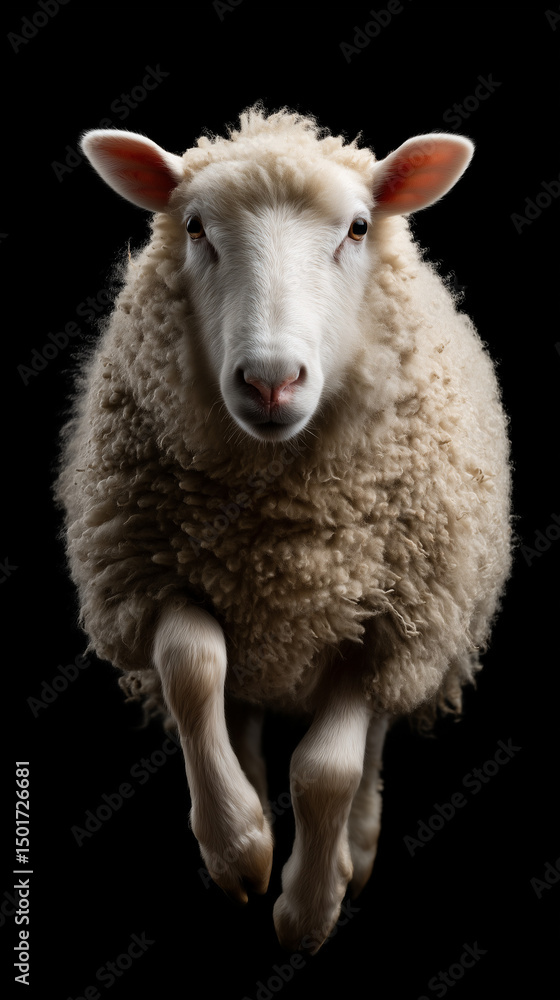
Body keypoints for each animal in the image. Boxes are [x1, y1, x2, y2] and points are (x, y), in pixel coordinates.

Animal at [55, 105, 512, 953]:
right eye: (195, 227)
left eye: (359, 227)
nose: (271, 381)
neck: (279, 536)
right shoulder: (150, 569)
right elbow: (193, 666)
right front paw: (239, 846)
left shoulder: (387, 620)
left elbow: (327, 770)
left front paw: (307, 909)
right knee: (235, 707)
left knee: (367, 746)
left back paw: (354, 847)